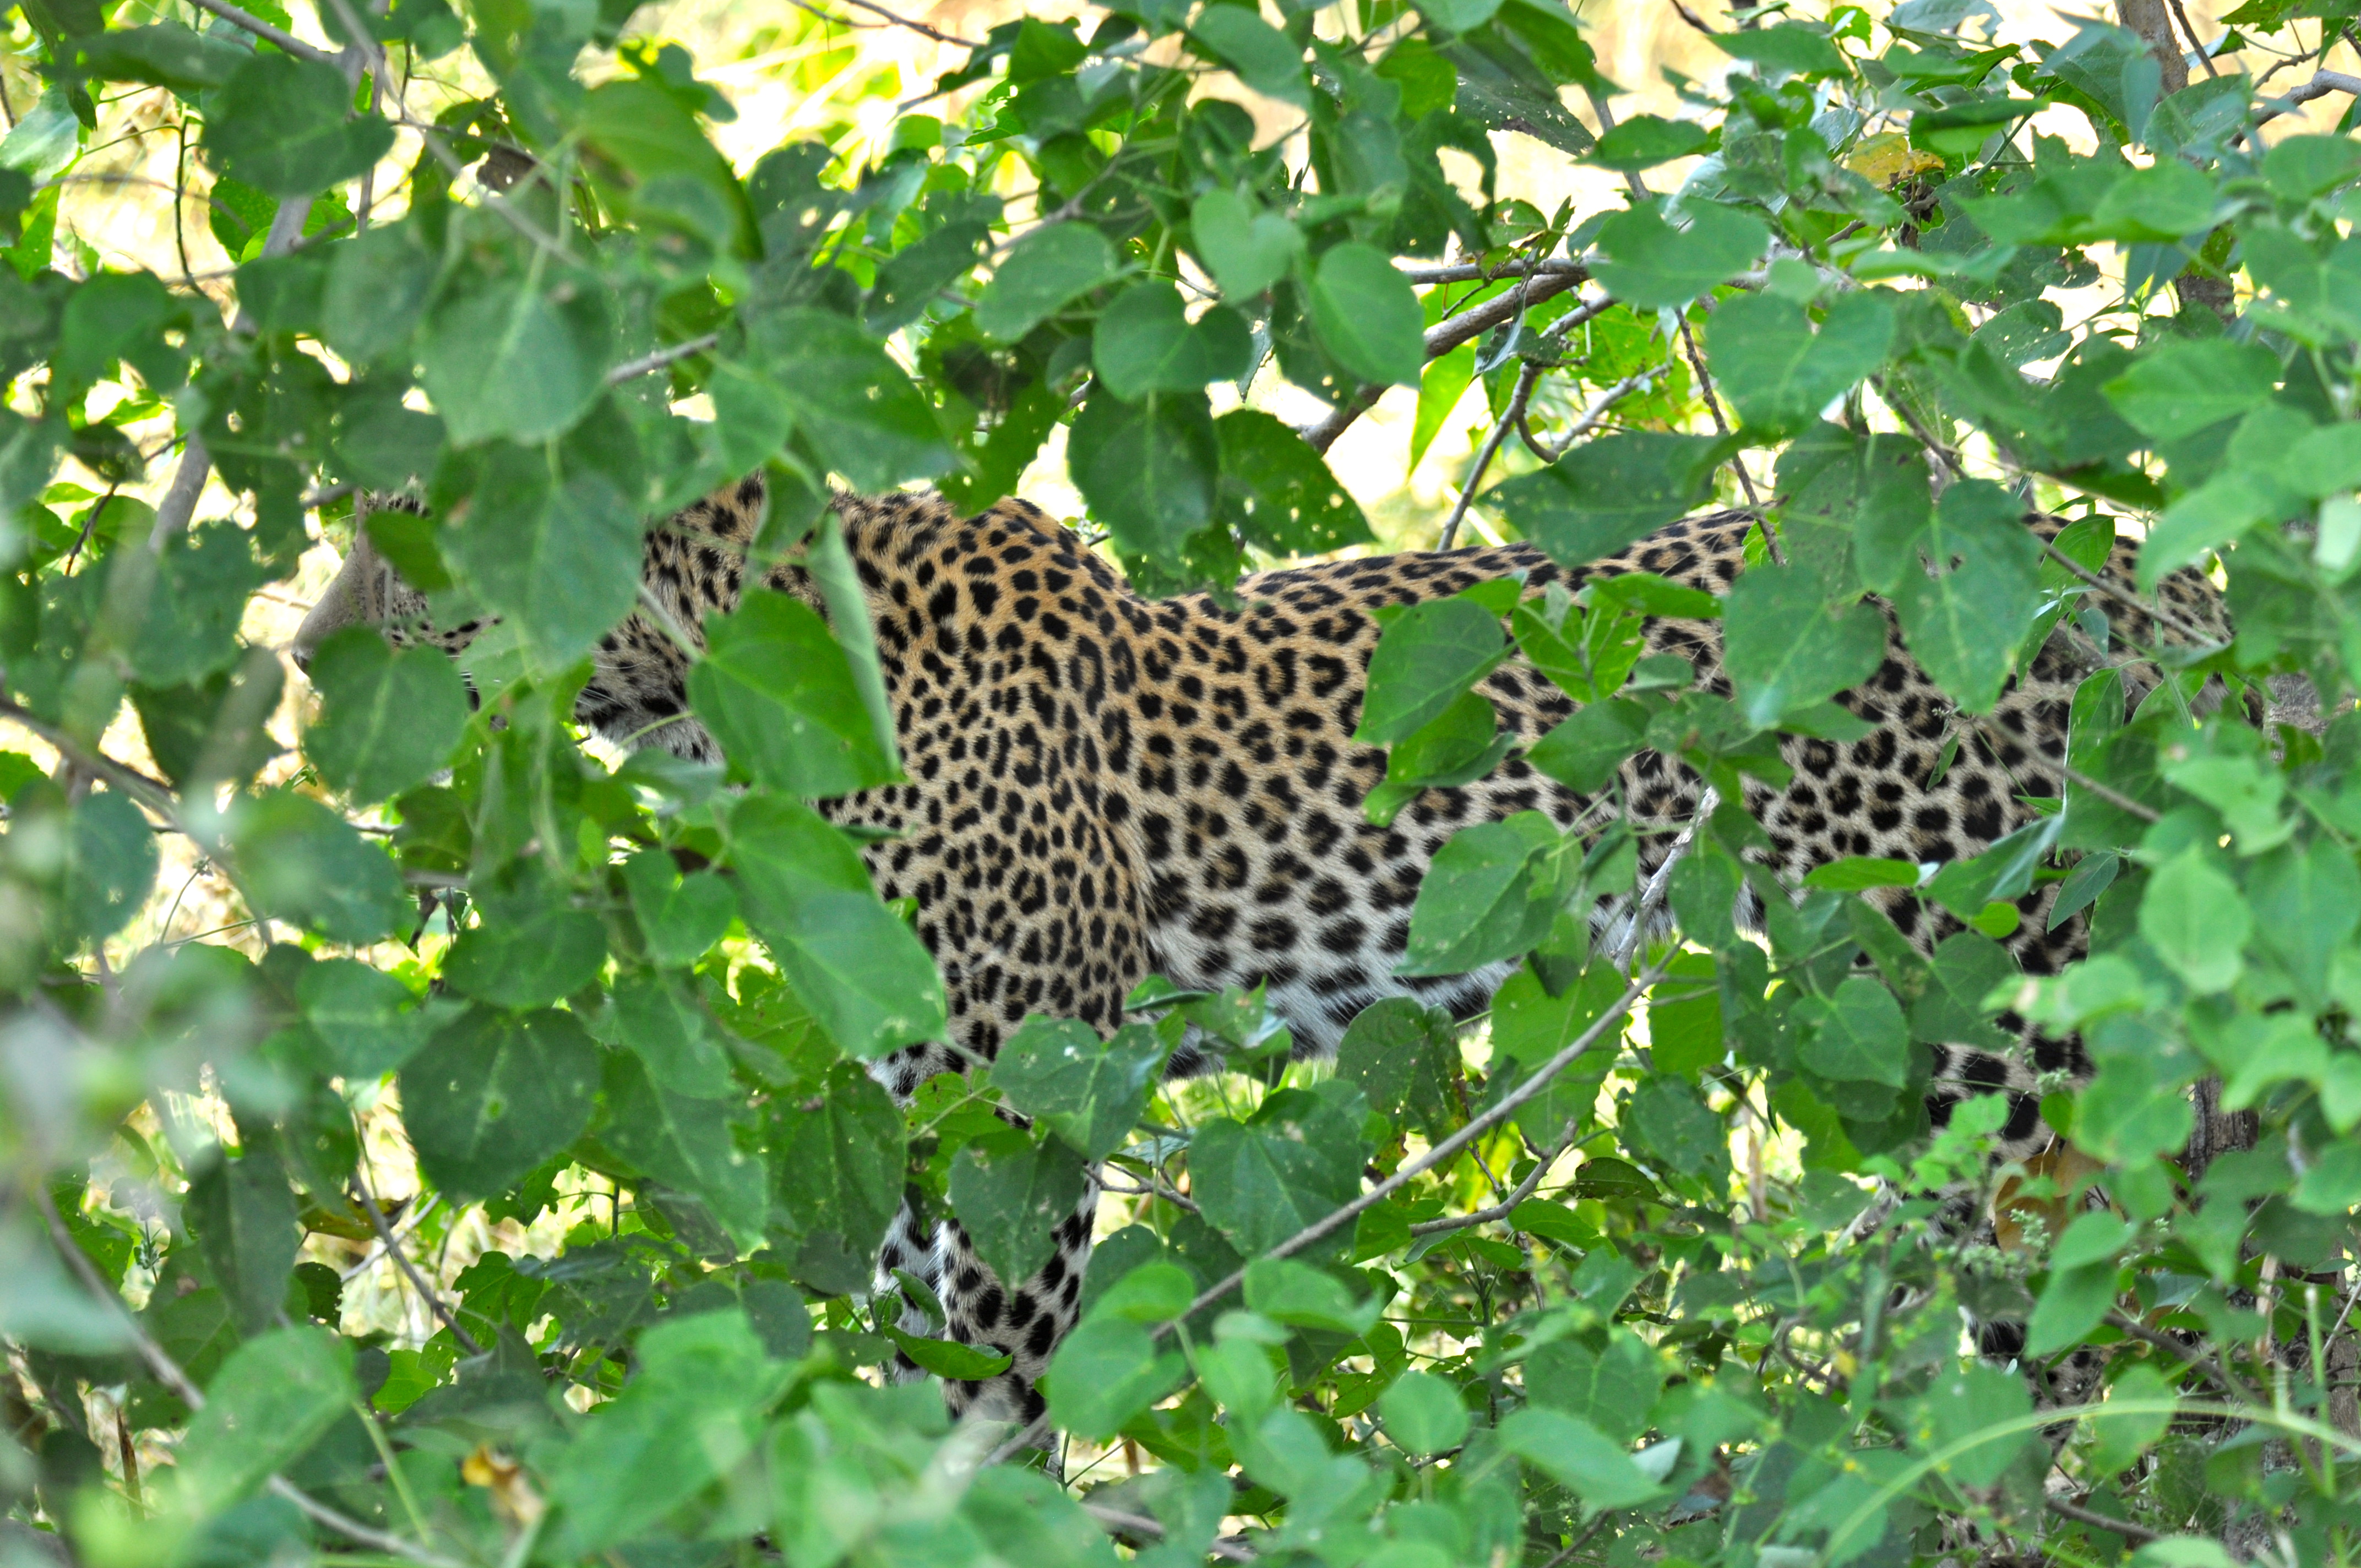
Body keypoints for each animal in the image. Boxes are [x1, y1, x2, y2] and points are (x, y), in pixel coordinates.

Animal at [294, 474, 2232, 1432]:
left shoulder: (1019, 1096)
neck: (720, 697)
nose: (306, 667)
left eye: (416, 573)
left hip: (1985, 1020)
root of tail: (2142, 574)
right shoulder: (916, 1107)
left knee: (2118, 1300)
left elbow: (995, 1391)